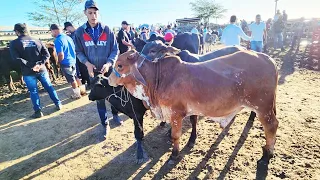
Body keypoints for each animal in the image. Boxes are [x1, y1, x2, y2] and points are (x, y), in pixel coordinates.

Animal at [107, 48, 278, 165]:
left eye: (120, 65)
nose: (108, 79)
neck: (157, 79)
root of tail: (268, 58)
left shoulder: (176, 114)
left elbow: (175, 136)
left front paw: (174, 155)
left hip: (263, 107)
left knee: (272, 126)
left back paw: (266, 156)